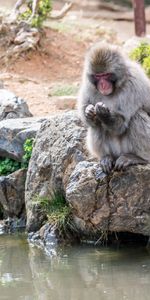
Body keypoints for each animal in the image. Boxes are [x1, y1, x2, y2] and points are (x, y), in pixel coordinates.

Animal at [77, 42, 150, 173]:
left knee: (137, 116)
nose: (102, 85)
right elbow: (88, 115)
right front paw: (88, 111)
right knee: (96, 125)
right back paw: (107, 157)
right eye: (98, 76)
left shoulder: (134, 84)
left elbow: (121, 123)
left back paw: (138, 158)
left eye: (106, 75)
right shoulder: (89, 84)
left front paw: (104, 113)